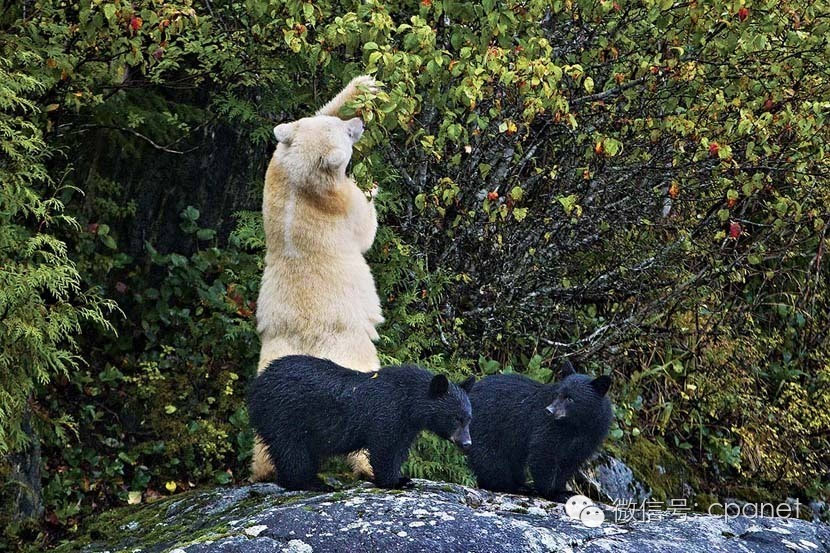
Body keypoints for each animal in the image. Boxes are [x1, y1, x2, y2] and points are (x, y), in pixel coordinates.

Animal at [249, 354, 474, 488]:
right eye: (456, 418)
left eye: (468, 419)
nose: (467, 443)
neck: (409, 401)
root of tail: (257, 385)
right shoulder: (387, 414)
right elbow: (385, 448)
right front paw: (394, 481)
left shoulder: (407, 425)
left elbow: (399, 448)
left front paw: (400, 477)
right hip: (284, 415)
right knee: (291, 450)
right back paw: (310, 483)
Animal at [252, 75, 386, 480]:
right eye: (347, 134)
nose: (358, 124)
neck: (301, 184)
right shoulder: (338, 204)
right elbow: (364, 229)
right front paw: (373, 186)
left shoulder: (274, 169)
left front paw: (362, 86)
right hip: (351, 357)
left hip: (271, 372)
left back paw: (266, 470)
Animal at [464, 362, 616, 500]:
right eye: (558, 394)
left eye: (570, 398)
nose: (549, 410)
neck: (576, 425)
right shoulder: (547, 426)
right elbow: (544, 452)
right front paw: (553, 493)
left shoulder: (591, 435)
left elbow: (570, 462)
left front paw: (564, 491)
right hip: (486, 426)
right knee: (489, 458)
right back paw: (514, 486)